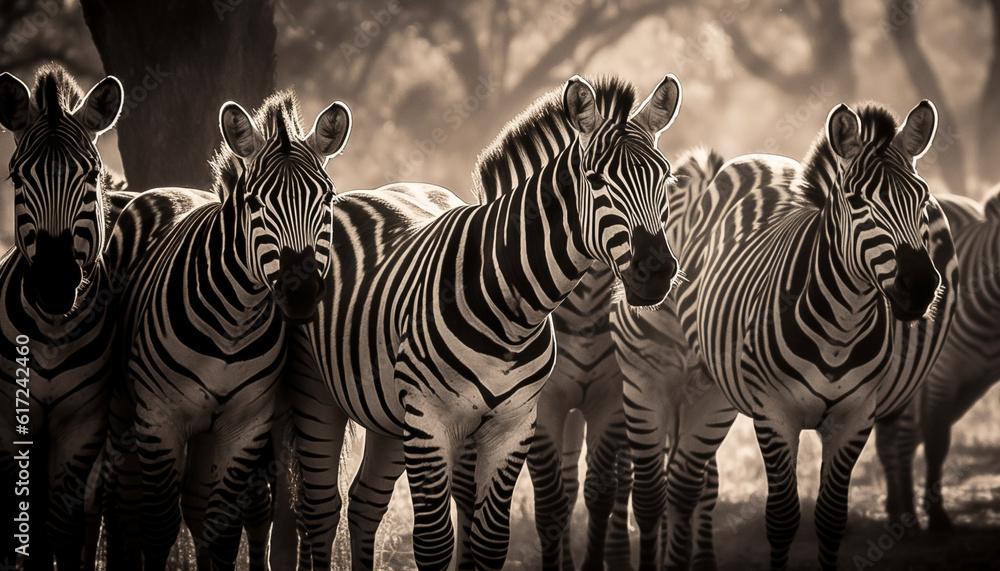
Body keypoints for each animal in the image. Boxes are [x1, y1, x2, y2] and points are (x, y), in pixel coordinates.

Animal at [0, 65, 131, 570]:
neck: (53, 331)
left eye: (91, 175)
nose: (55, 282)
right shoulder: (13, 424)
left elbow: (63, 527)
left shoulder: (81, 426)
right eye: (17, 177)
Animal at [103, 91, 351, 571]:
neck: (233, 323)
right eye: (254, 203)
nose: (301, 293)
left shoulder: (245, 424)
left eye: (327, 199)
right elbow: (158, 526)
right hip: (125, 408)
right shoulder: (160, 419)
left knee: (199, 506)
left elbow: (222, 528)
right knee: (123, 503)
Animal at [285, 74, 682, 570]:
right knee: (320, 509)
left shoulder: (514, 426)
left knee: (363, 504)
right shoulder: (431, 423)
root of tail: (355, 194)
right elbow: (434, 542)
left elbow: (493, 539)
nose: (656, 271)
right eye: (595, 180)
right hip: (316, 392)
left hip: (387, 415)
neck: (513, 309)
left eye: (665, 177)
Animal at [614, 100, 957, 570]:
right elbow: (781, 519)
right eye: (857, 202)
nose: (920, 285)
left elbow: (831, 518)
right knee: (655, 492)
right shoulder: (774, 413)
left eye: (921, 198)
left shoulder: (855, 417)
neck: (841, 327)